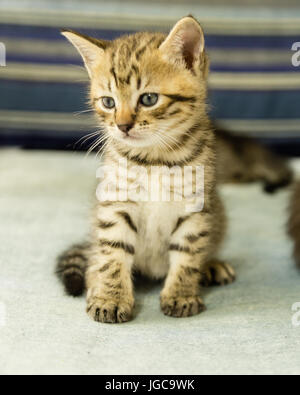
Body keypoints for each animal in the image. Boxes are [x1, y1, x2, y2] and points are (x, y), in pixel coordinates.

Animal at [57, 17, 236, 324]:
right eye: (108, 102)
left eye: (149, 99)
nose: (122, 126)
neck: (155, 160)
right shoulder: (114, 203)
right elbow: (113, 254)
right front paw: (110, 298)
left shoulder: (196, 206)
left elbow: (188, 253)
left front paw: (181, 294)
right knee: (97, 256)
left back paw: (211, 265)